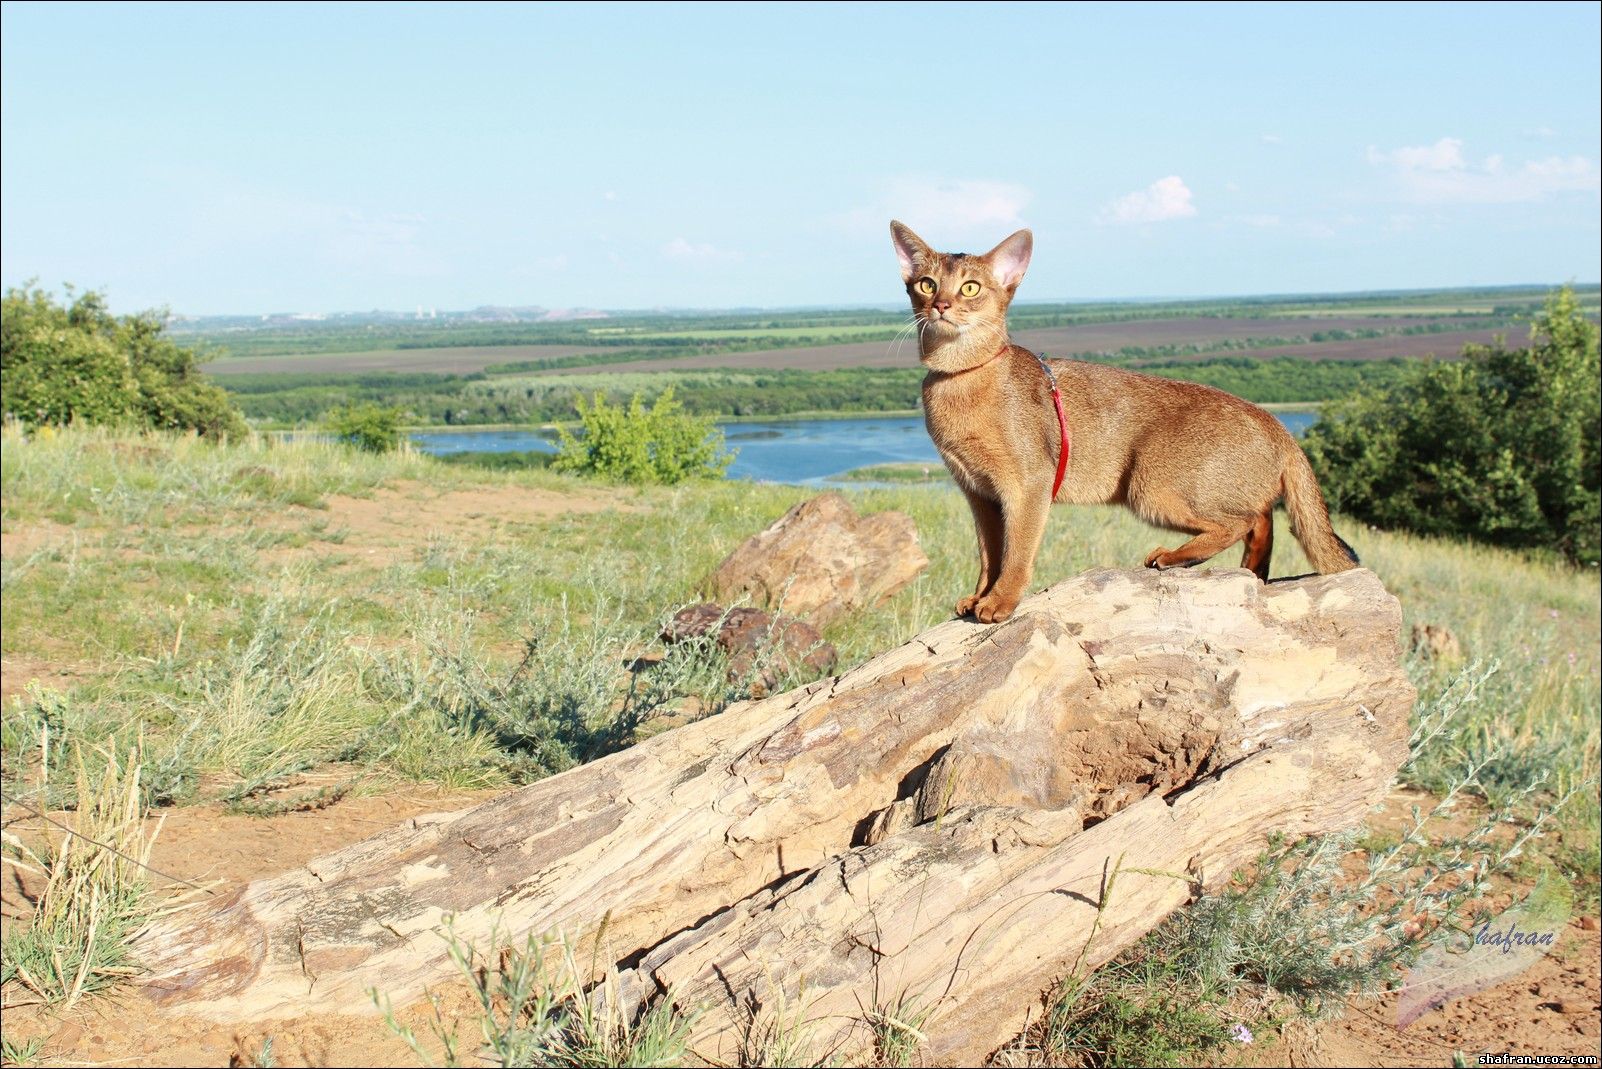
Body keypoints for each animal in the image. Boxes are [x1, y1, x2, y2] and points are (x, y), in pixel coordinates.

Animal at [890, 221, 1352, 621]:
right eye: (926, 283)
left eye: (970, 287)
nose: (941, 305)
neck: (960, 377)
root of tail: (1275, 422)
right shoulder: (978, 492)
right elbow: (990, 555)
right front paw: (979, 596)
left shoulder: (1028, 483)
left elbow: (1016, 552)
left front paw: (1001, 602)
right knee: (1261, 519)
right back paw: (1247, 571)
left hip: (1148, 484)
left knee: (1244, 519)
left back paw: (1175, 557)